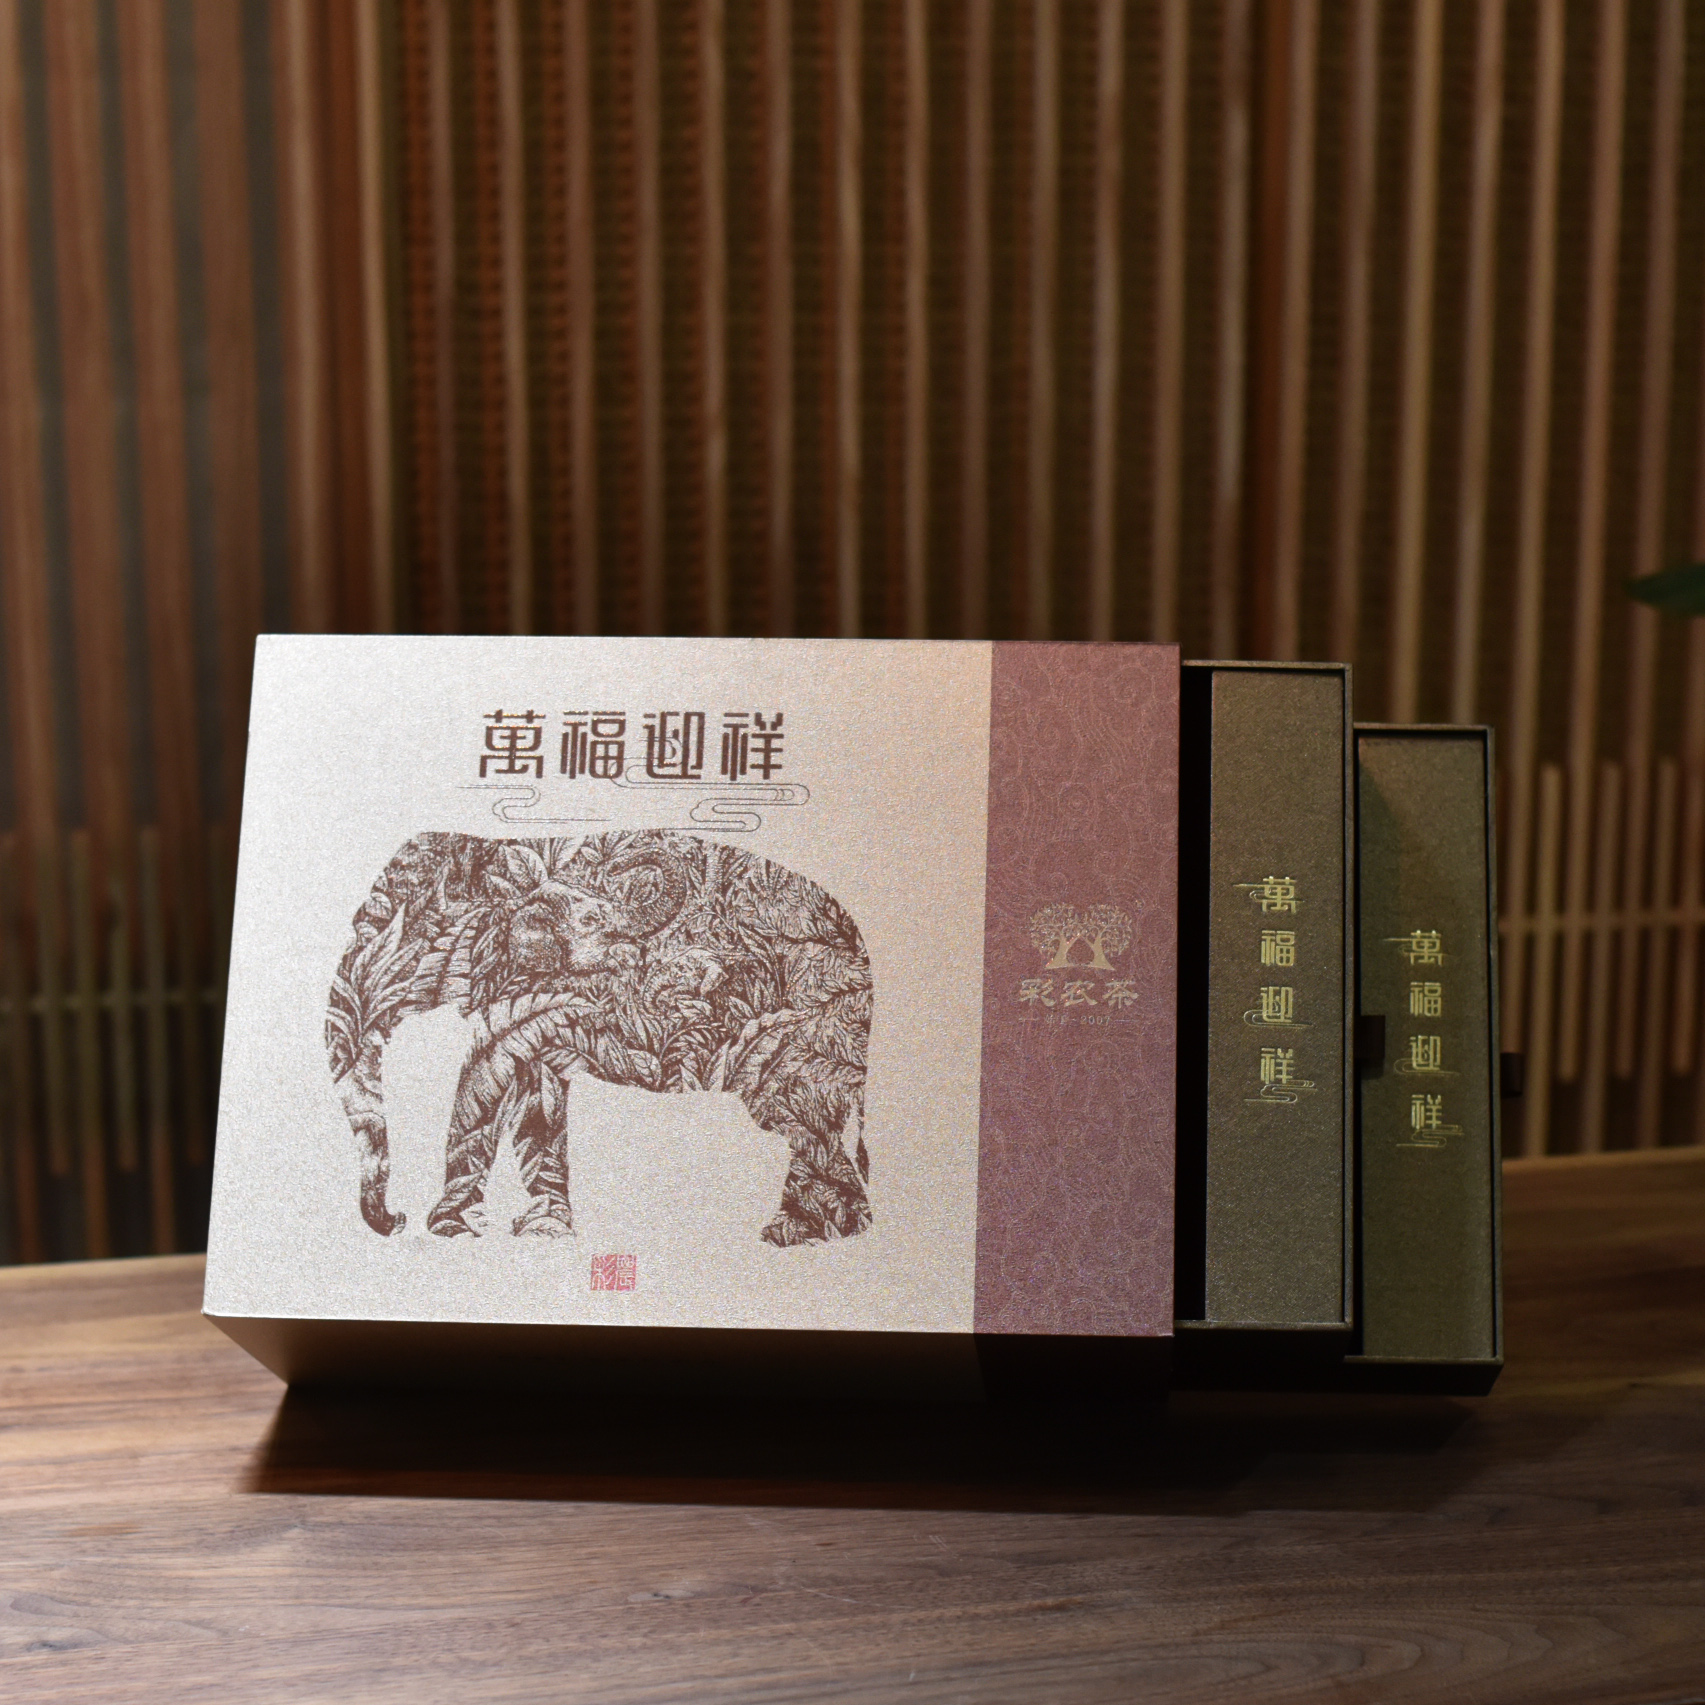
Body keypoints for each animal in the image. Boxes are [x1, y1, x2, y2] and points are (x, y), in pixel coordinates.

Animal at [325, 829, 873, 1248]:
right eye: (591, 919)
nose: (394, 1222)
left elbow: (494, 1078)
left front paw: (460, 1229)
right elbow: (531, 1091)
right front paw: (533, 1229)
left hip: (805, 1035)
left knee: (798, 1121)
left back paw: (797, 1234)